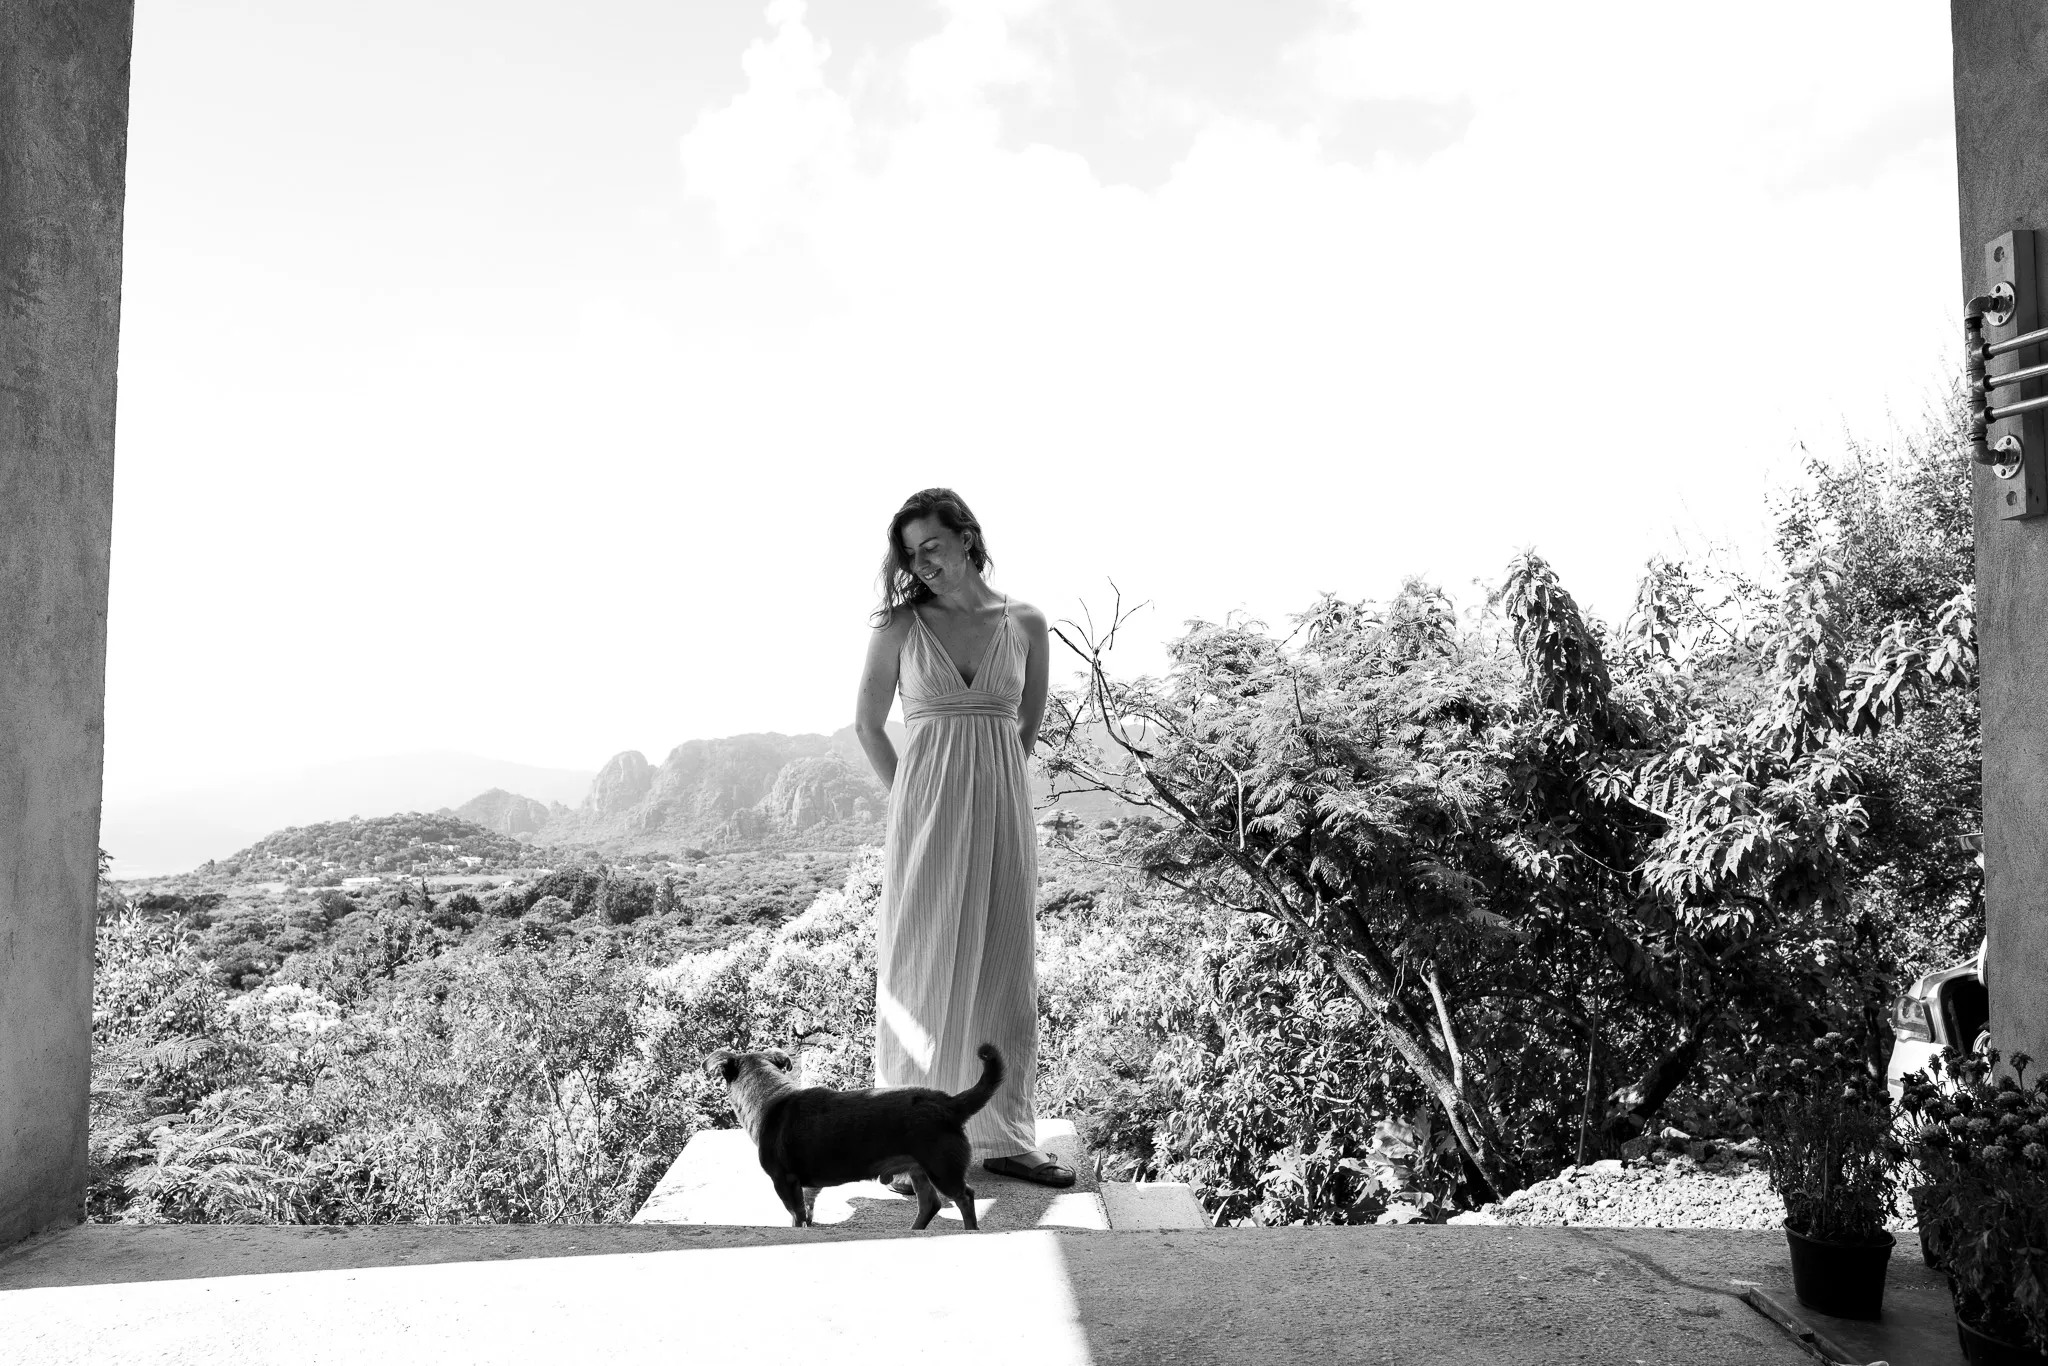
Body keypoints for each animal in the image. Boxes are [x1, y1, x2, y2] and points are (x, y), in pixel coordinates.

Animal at [704, 1048, 1007, 1228]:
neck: (772, 1097)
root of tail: (950, 1104)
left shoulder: (784, 1182)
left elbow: (796, 1215)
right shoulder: (806, 1187)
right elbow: (807, 1211)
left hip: (941, 1168)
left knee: (965, 1198)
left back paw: (969, 1230)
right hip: (919, 1170)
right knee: (930, 1205)